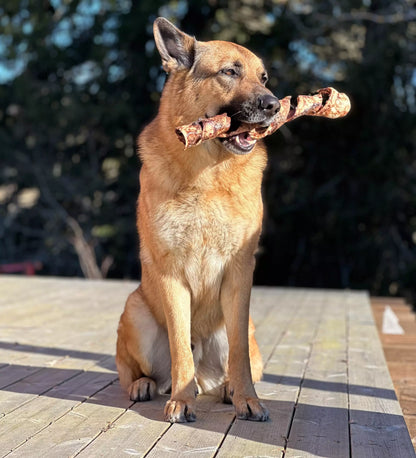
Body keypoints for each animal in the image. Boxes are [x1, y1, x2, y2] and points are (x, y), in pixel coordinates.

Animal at [115, 18, 282, 426]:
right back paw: (144, 385)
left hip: (249, 335)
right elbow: (180, 348)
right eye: (229, 72)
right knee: (135, 371)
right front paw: (181, 401)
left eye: (264, 77)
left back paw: (228, 390)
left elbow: (238, 355)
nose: (274, 105)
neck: (207, 175)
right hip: (135, 312)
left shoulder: (240, 273)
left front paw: (247, 400)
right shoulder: (171, 275)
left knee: (235, 362)